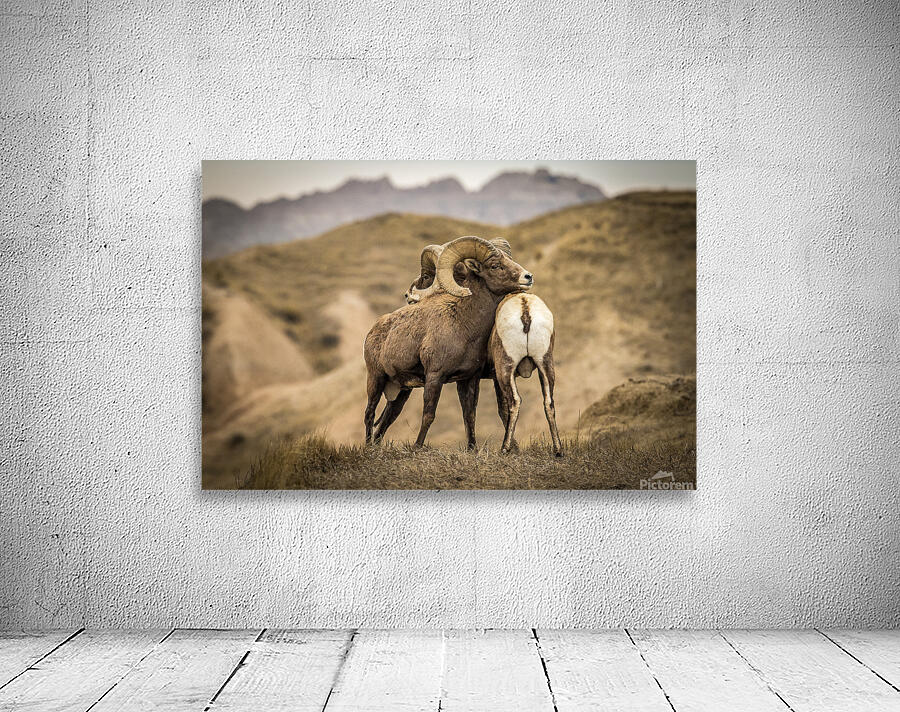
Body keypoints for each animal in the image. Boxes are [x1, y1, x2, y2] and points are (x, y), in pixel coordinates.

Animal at [364, 236, 533, 448]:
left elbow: (470, 416)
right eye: (494, 265)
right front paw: (417, 447)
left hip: (401, 391)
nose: (528, 277)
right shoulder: (435, 376)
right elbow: (429, 415)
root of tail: (374, 330)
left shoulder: (468, 379)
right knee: (369, 414)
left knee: (387, 419)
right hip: (376, 379)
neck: (465, 325)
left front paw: (473, 450)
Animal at [489, 292, 562, 456]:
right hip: (545, 365)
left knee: (515, 401)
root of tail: (525, 308)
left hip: (505, 370)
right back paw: (558, 451)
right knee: (549, 402)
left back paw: (504, 449)